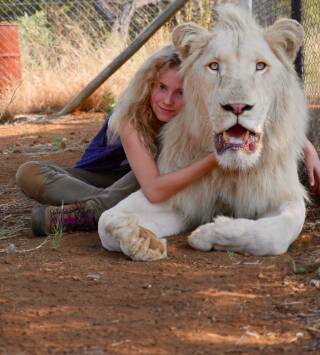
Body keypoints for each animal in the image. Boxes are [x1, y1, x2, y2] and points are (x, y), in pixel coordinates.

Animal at [99, 4, 308, 262]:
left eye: (260, 66)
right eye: (214, 66)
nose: (237, 106)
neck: (230, 171)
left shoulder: (282, 194)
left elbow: (275, 233)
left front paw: (209, 233)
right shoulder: (177, 195)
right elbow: (106, 220)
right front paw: (141, 239)